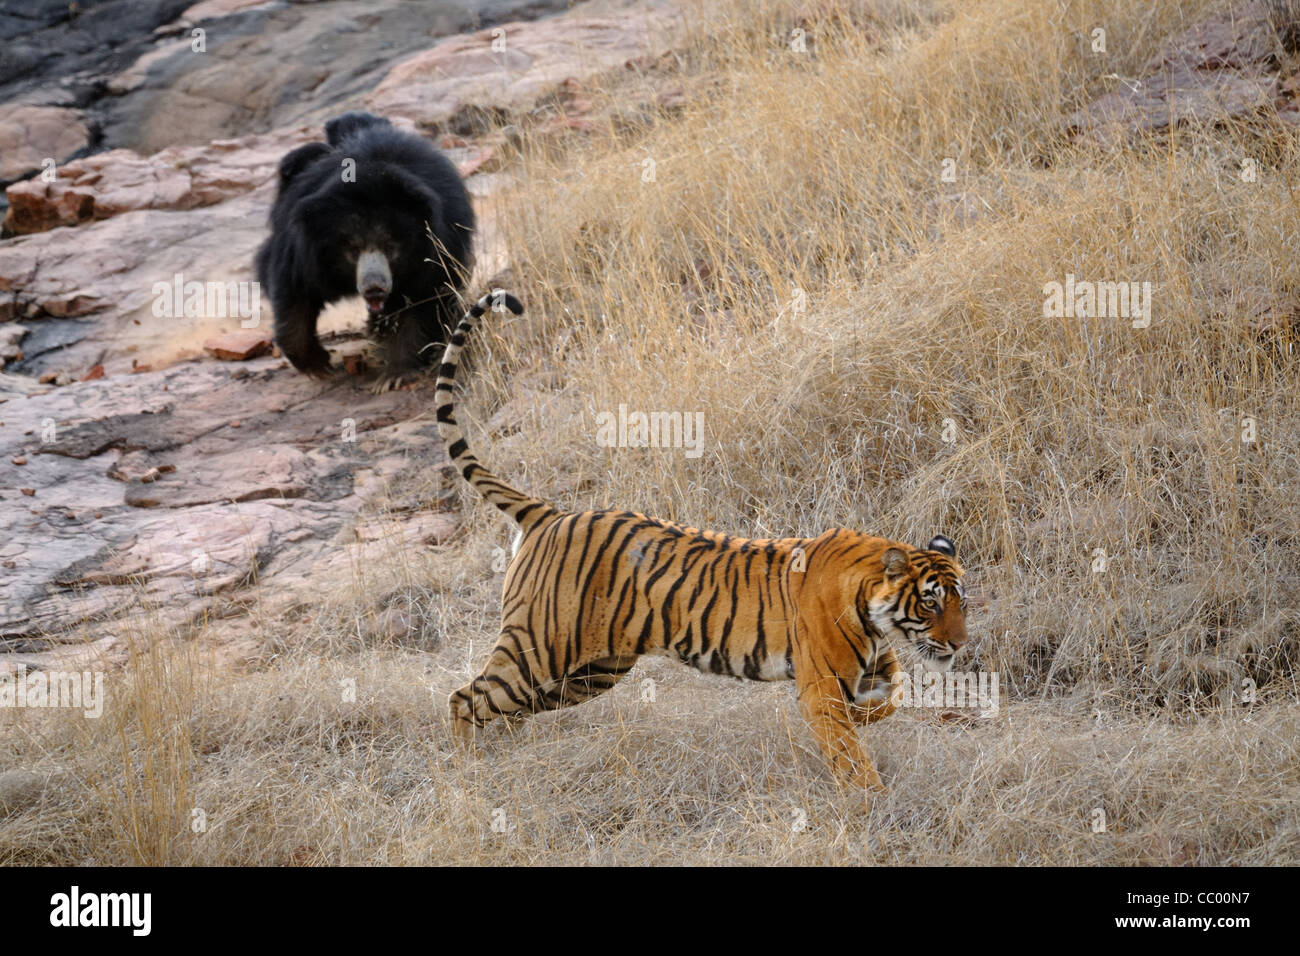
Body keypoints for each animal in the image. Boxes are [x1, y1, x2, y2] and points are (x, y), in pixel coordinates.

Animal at [256, 113, 475, 392]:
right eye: (352, 248)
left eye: (391, 247)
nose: (374, 287)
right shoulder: (303, 248)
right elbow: (294, 291)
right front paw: (318, 366)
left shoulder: (439, 244)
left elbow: (426, 298)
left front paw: (395, 374)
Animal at [434, 291, 967, 790]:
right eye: (931, 603)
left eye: (962, 602)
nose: (960, 644)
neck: (874, 612)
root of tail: (550, 513)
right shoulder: (821, 683)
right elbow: (848, 752)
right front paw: (869, 798)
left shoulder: (873, 667)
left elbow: (891, 699)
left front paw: (866, 720)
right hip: (539, 650)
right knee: (465, 698)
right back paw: (467, 767)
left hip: (590, 671)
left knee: (509, 708)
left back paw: (509, 750)